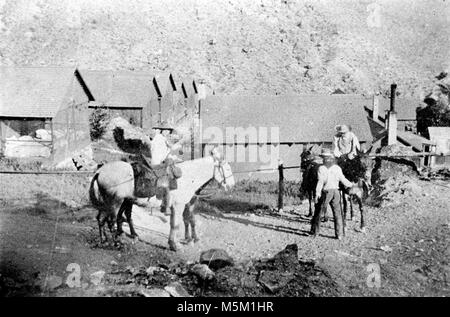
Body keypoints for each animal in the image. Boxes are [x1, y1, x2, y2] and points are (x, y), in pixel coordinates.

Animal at [89, 148, 236, 249]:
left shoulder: (182, 205)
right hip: (115, 202)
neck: (188, 177)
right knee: (110, 221)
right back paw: (116, 243)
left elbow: (181, 222)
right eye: (228, 169)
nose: (231, 186)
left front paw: (179, 242)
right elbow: (176, 224)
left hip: (111, 202)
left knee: (103, 219)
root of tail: (99, 172)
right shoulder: (179, 206)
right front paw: (175, 245)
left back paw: (106, 239)